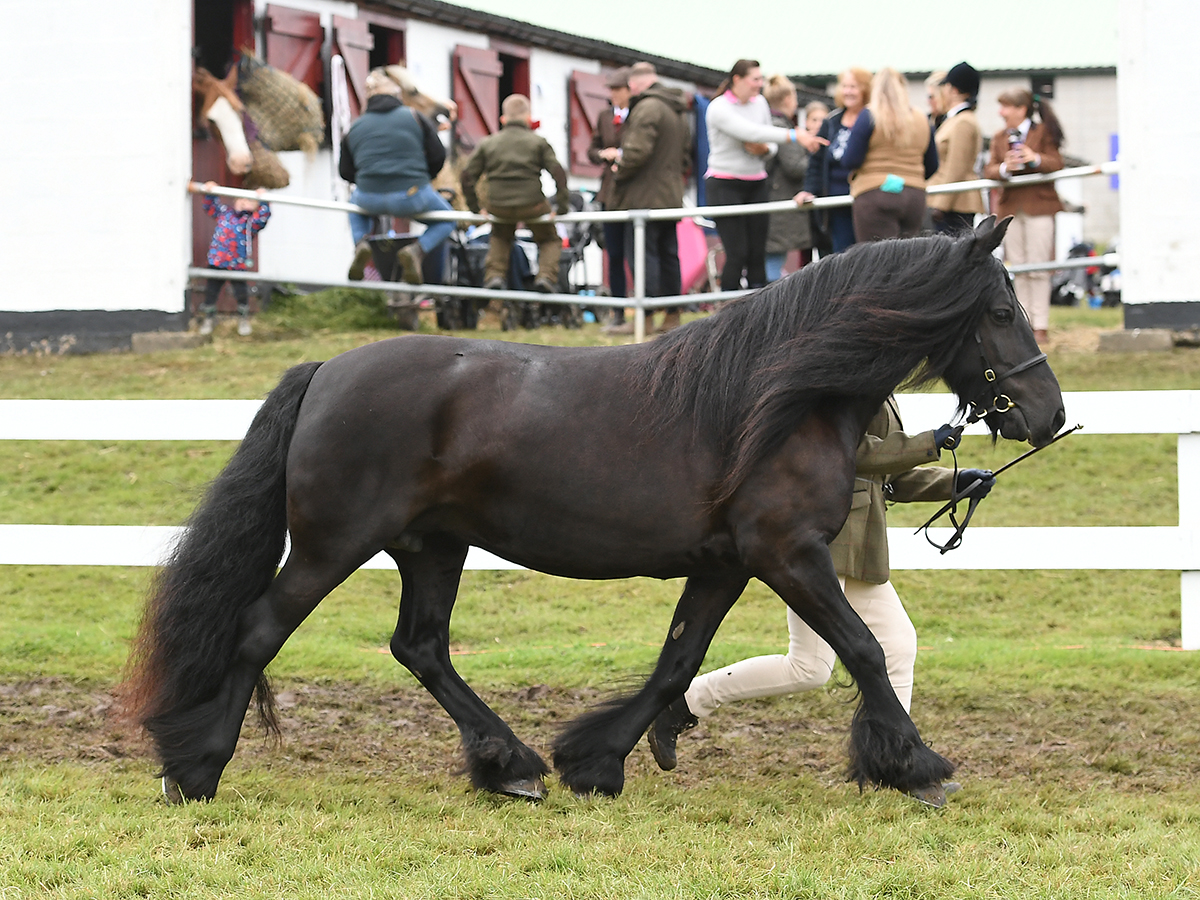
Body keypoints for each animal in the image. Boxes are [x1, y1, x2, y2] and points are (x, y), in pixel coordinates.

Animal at [119, 217, 1060, 801]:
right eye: (1001, 309)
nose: (1048, 416)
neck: (778, 398)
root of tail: (326, 371)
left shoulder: (725, 565)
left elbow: (677, 664)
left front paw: (595, 761)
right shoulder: (788, 554)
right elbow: (864, 649)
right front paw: (918, 766)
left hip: (433, 546)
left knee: (421, 647)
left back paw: (511, 765)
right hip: (334, 544)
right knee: (258, 631)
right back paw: (194, 770)